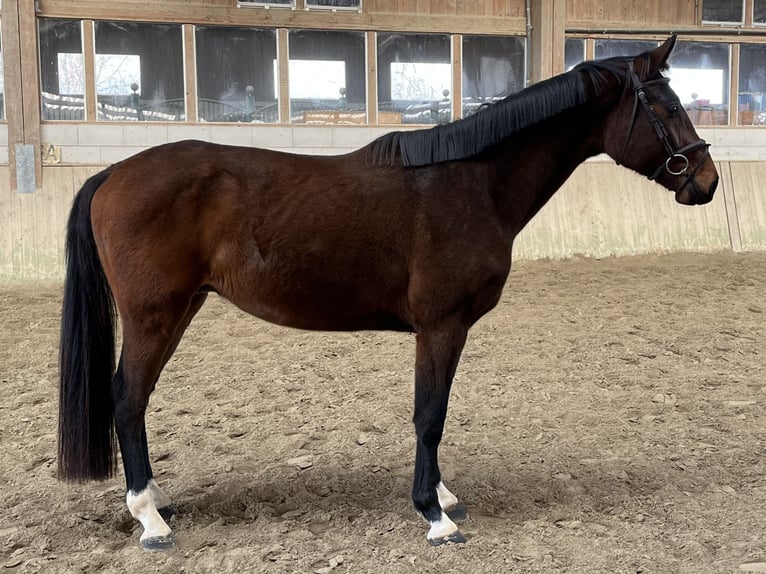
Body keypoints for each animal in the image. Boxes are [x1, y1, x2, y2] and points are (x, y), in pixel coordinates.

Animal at [58, 37, 720, 552]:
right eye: (667, 106)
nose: (708, 182)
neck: (472, 181)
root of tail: (112, 174)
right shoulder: (442, 324)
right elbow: (430, 414)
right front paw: (434, 515)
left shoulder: (449, 328)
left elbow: (437, 412)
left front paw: (444, 496)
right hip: (154, 315)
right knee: (127, 398)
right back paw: (150, 519)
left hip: (180, 309)